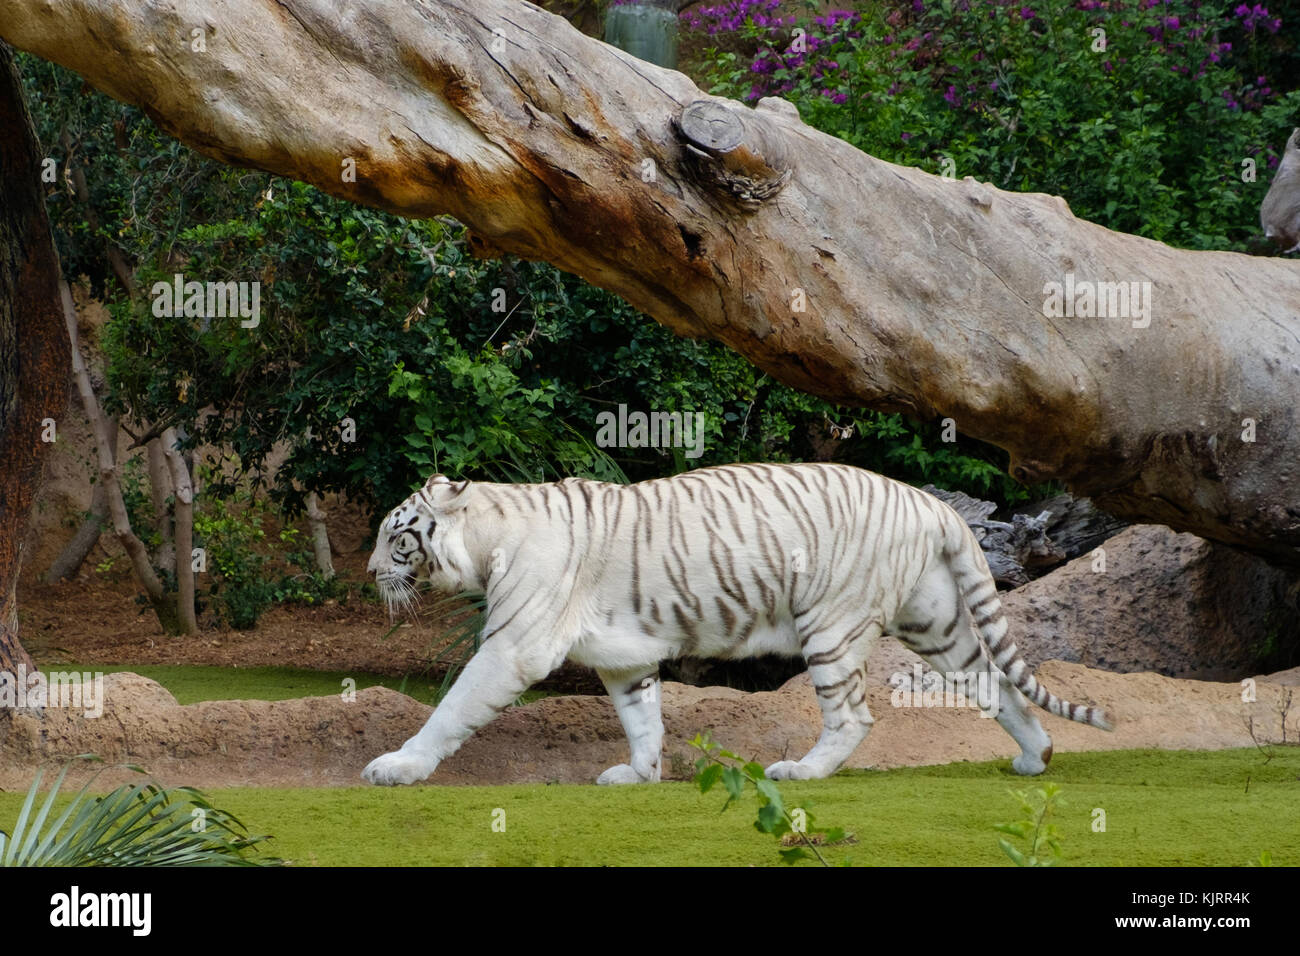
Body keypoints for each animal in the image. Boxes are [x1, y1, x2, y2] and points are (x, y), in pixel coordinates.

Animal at [361, 462, 1111, 787]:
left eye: (397, 536)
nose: (368, 574)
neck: (490, 534)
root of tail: (934, 506)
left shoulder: (513, 646)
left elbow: (452, 709)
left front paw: (398, 766)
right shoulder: (626, 658)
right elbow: (642, 719)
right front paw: (640, 774)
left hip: (831, 625)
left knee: (854, 717)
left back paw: (802, 771)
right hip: (937, 623)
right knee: (996, 684)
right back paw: (1035, 756)